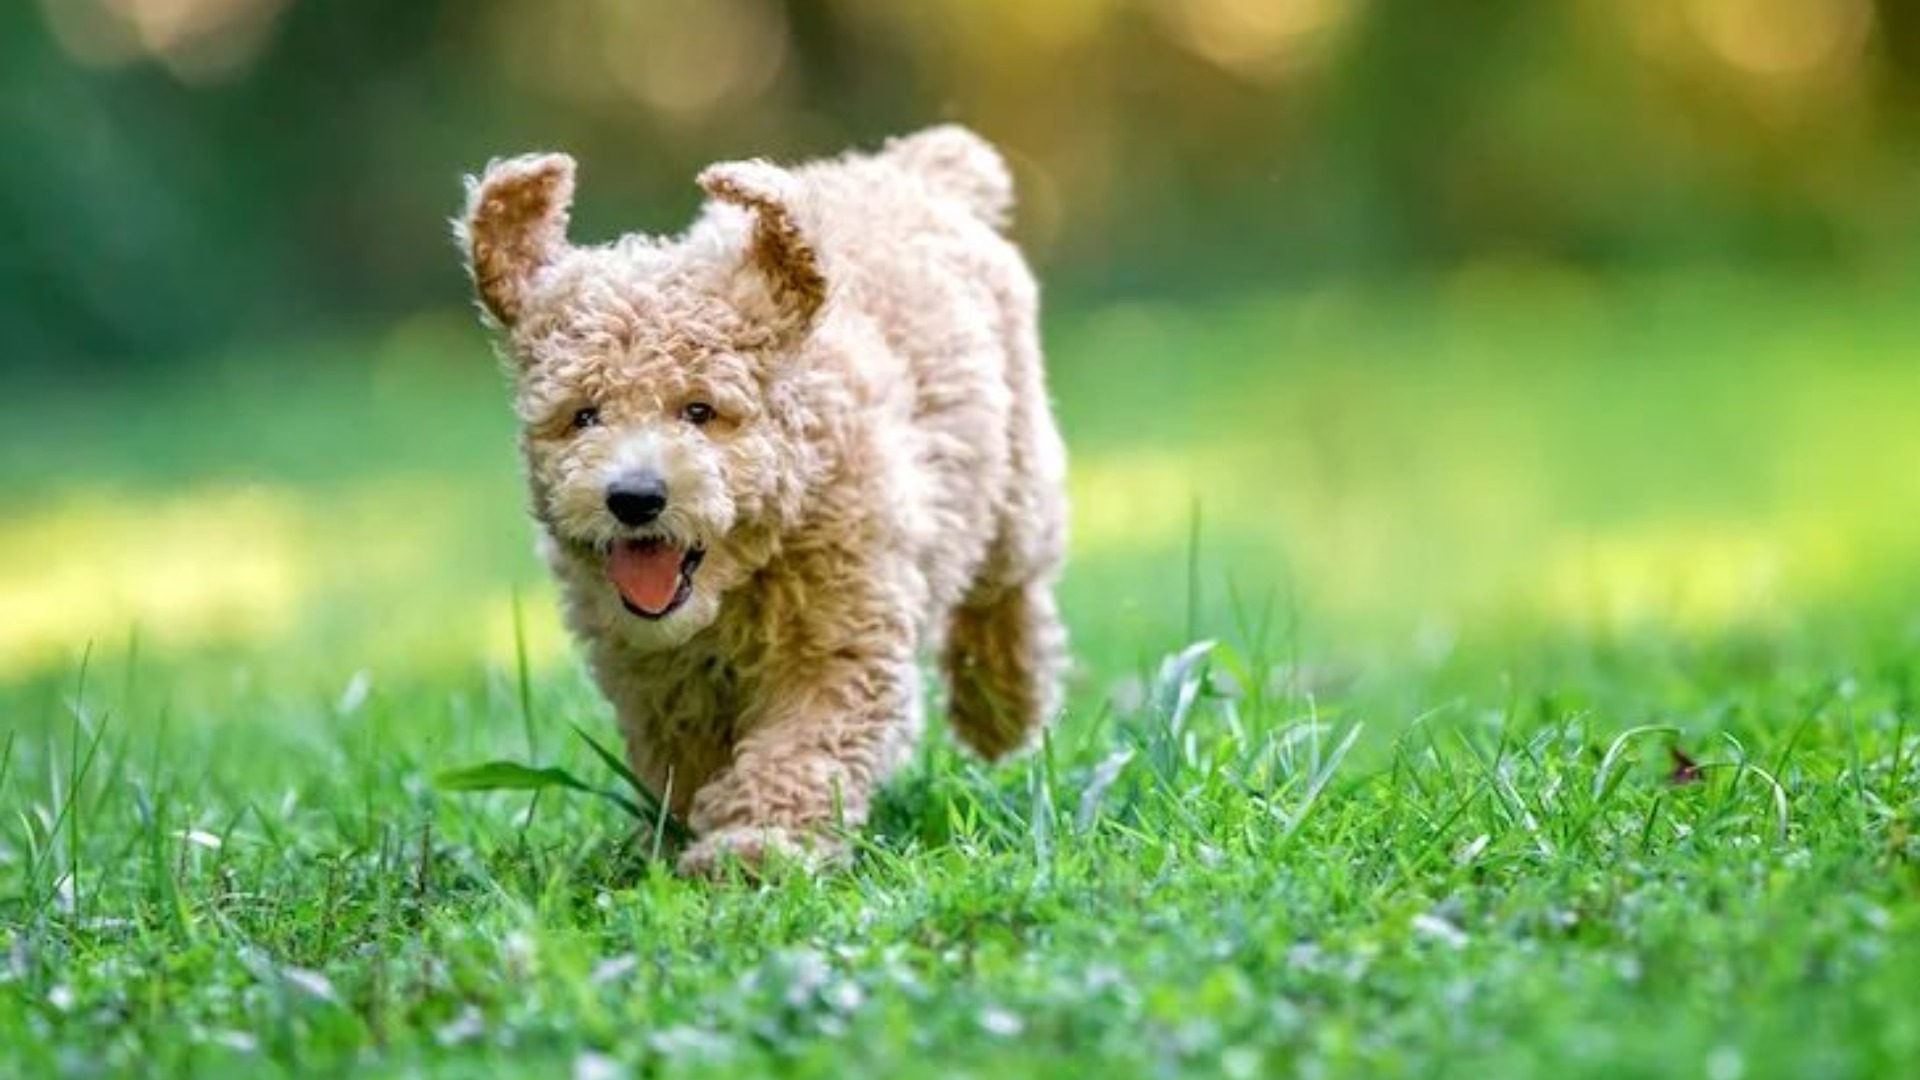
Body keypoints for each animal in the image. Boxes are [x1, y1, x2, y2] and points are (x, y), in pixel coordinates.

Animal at [458, 123, 1075, 876]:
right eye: (584, 416)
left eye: (701, 410)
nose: (634, 497)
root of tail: (909, 165)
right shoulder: (655, 674)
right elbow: (681, 756)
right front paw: (679, 836)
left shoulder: (842, 636)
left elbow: (803, 745)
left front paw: (754, 846)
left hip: (1016, 476)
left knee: (1008, 588)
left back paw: (1000, 708)